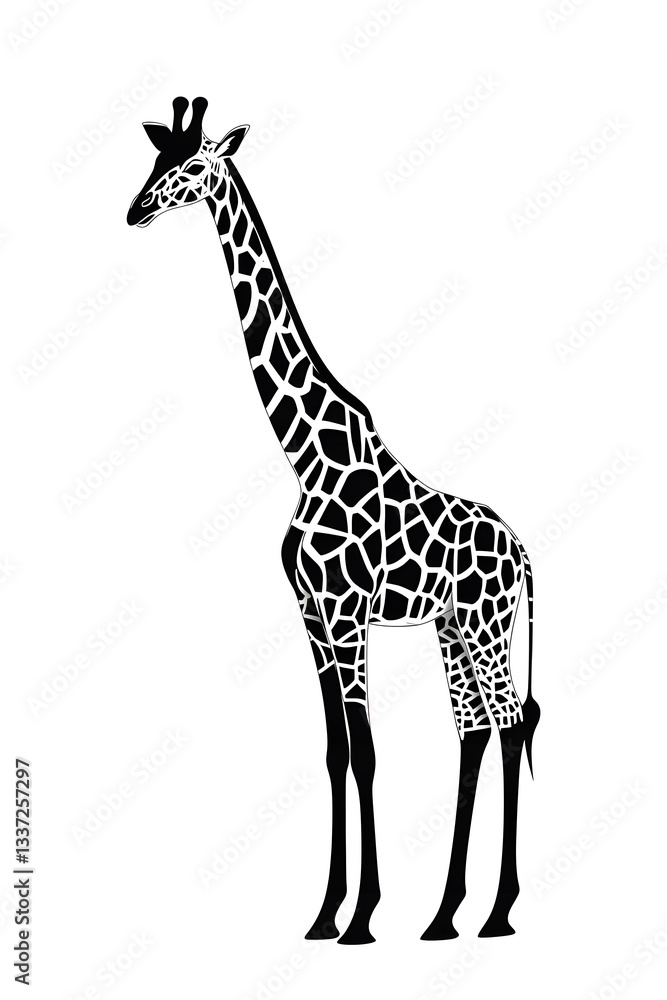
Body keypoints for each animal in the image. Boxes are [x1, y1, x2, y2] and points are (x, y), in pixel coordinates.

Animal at [128, 97, 541, 944]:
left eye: (192, 165)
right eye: (155, 160)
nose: (136, 209)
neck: (304, 454)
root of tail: (522, 550)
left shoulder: (349, 614)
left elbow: (368, 752)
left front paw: (362, 916)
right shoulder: (313, 619)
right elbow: (332, 753)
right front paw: (326, 913)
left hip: (485, 624)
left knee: (511, 721)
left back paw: (496, 913)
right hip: (452, 628)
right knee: (475, 729)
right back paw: (446, 913)